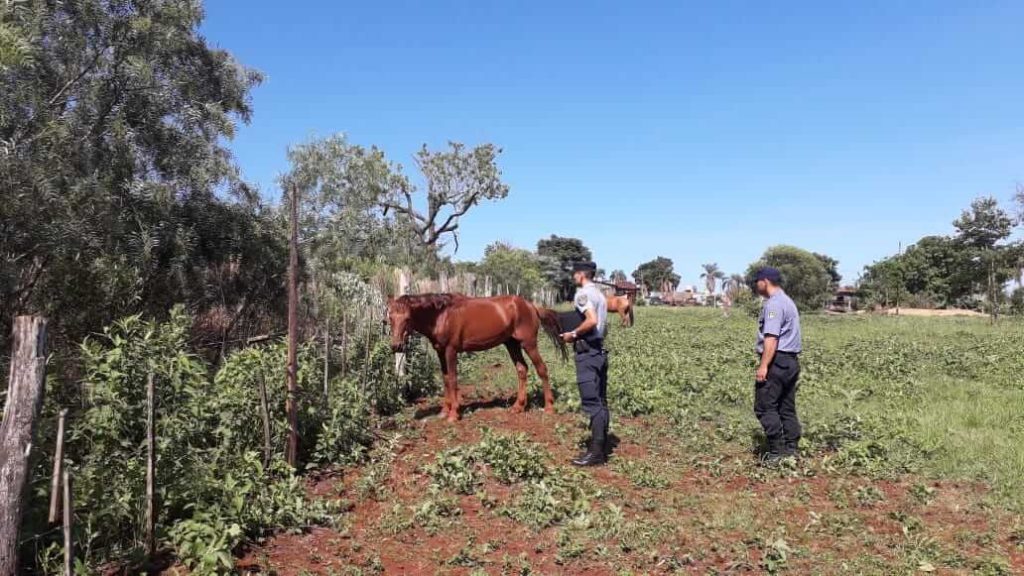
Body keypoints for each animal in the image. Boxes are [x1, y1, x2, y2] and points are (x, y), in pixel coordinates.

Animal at [387, 293, 573, 420]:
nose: (396, 346)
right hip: (511, 344)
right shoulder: (440, 352)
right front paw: (444, 411)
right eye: (389, 318)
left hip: (529, 344)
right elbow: (445, 379)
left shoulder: (451, 351)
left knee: (542, 369)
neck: (442, 315)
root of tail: (531, 306)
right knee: (522, 369)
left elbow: (453, 379)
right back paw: (518, 407)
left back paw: (549, 407)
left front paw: (454, 414)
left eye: (407, 318)